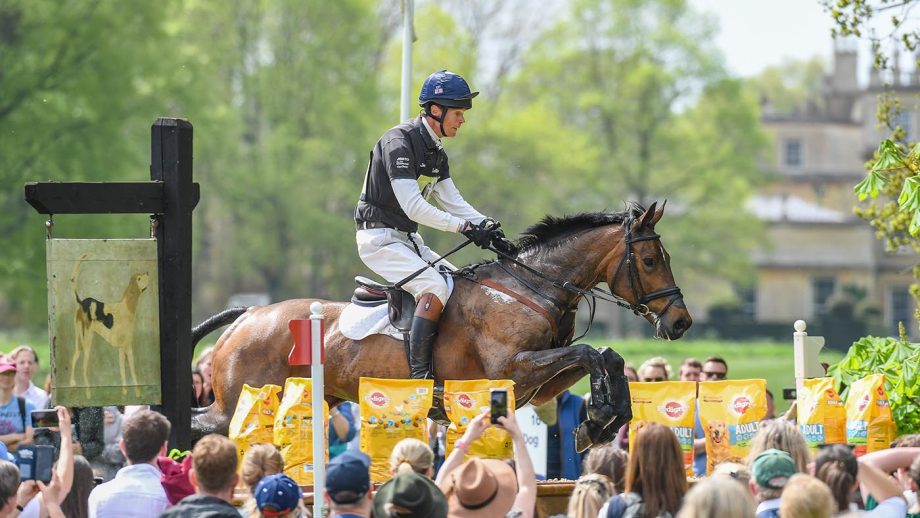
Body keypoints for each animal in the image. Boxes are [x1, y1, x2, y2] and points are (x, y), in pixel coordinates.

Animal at [190, 201, 688, 452]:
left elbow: (606, 356)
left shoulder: (538, 385)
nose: (681, 322)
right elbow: (591, 353)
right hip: (244, 401)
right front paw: (601, 418)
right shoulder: (516, 368)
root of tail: (247, 316)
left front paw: (601, 421)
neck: (529, 287)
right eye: (649, 260)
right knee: (205, 425)